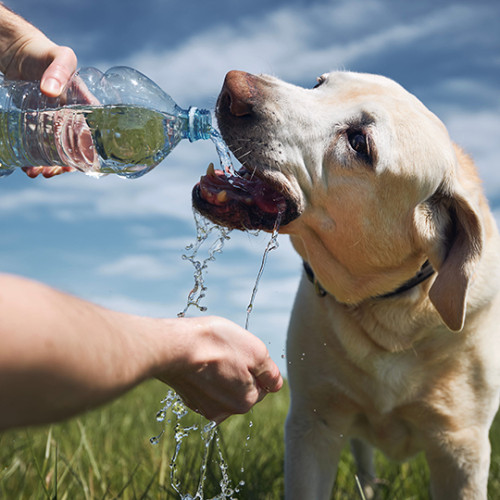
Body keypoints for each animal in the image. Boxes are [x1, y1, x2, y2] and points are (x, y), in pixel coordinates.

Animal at [193, 70, 500, 500]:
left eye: (358, 143)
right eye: (319, 84)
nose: (232, 86)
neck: (391, 314)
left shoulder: (462, 447)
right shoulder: (312, 424)